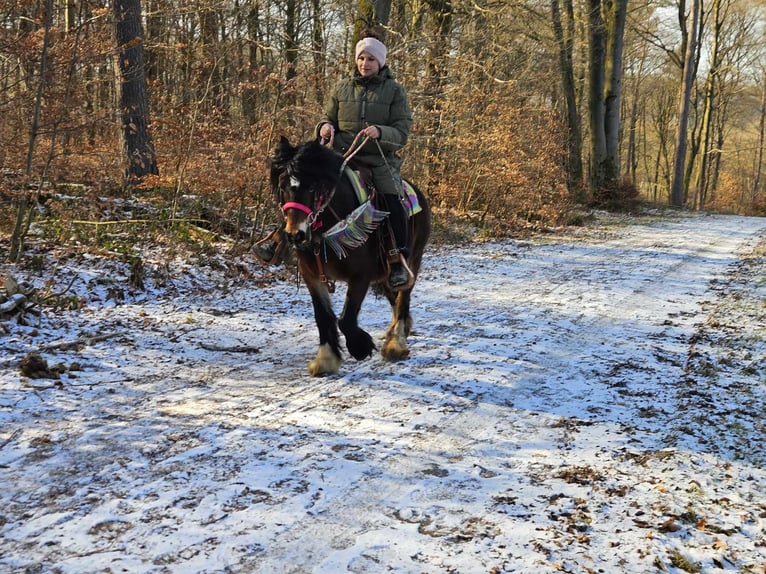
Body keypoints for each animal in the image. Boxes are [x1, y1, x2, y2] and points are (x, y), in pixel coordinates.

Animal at [272, 136, 432, 378]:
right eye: (283, 185)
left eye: (313, 186)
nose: (295, 235)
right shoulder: (312, 277)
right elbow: (323, 316)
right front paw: (326, 360)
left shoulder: (360, 276)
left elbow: (346, 319)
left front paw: (360, 347)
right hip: (384, 275)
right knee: (394, 298)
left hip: (412, 260)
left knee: (403, 298)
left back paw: (396, 344)